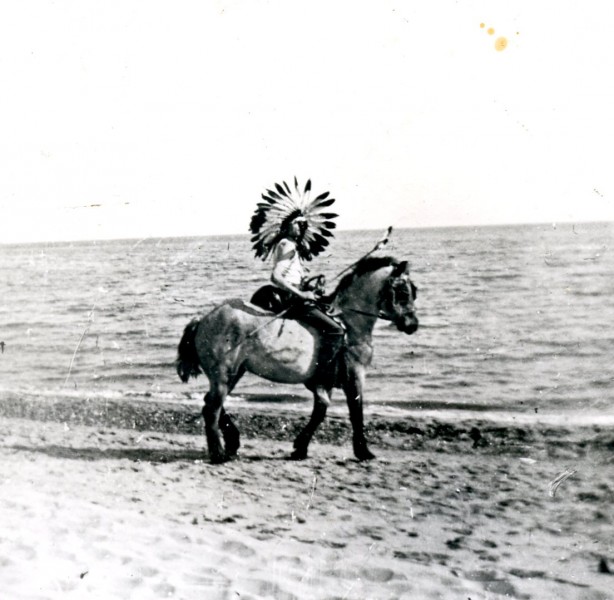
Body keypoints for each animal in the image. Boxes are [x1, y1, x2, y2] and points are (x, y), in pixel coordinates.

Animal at [176, 256, 418, 463]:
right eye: (402, 292)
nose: (412, 325)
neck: (348, 325)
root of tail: (204, 319)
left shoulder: (324, 383)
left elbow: (320, 412)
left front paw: (300, 448)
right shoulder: (355, 377)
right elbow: (355, 413)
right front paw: (363, 451)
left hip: (234, 372)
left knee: (211, 403)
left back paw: (232, 443)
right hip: (224, 373)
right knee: (212, 409)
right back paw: (218, 454)